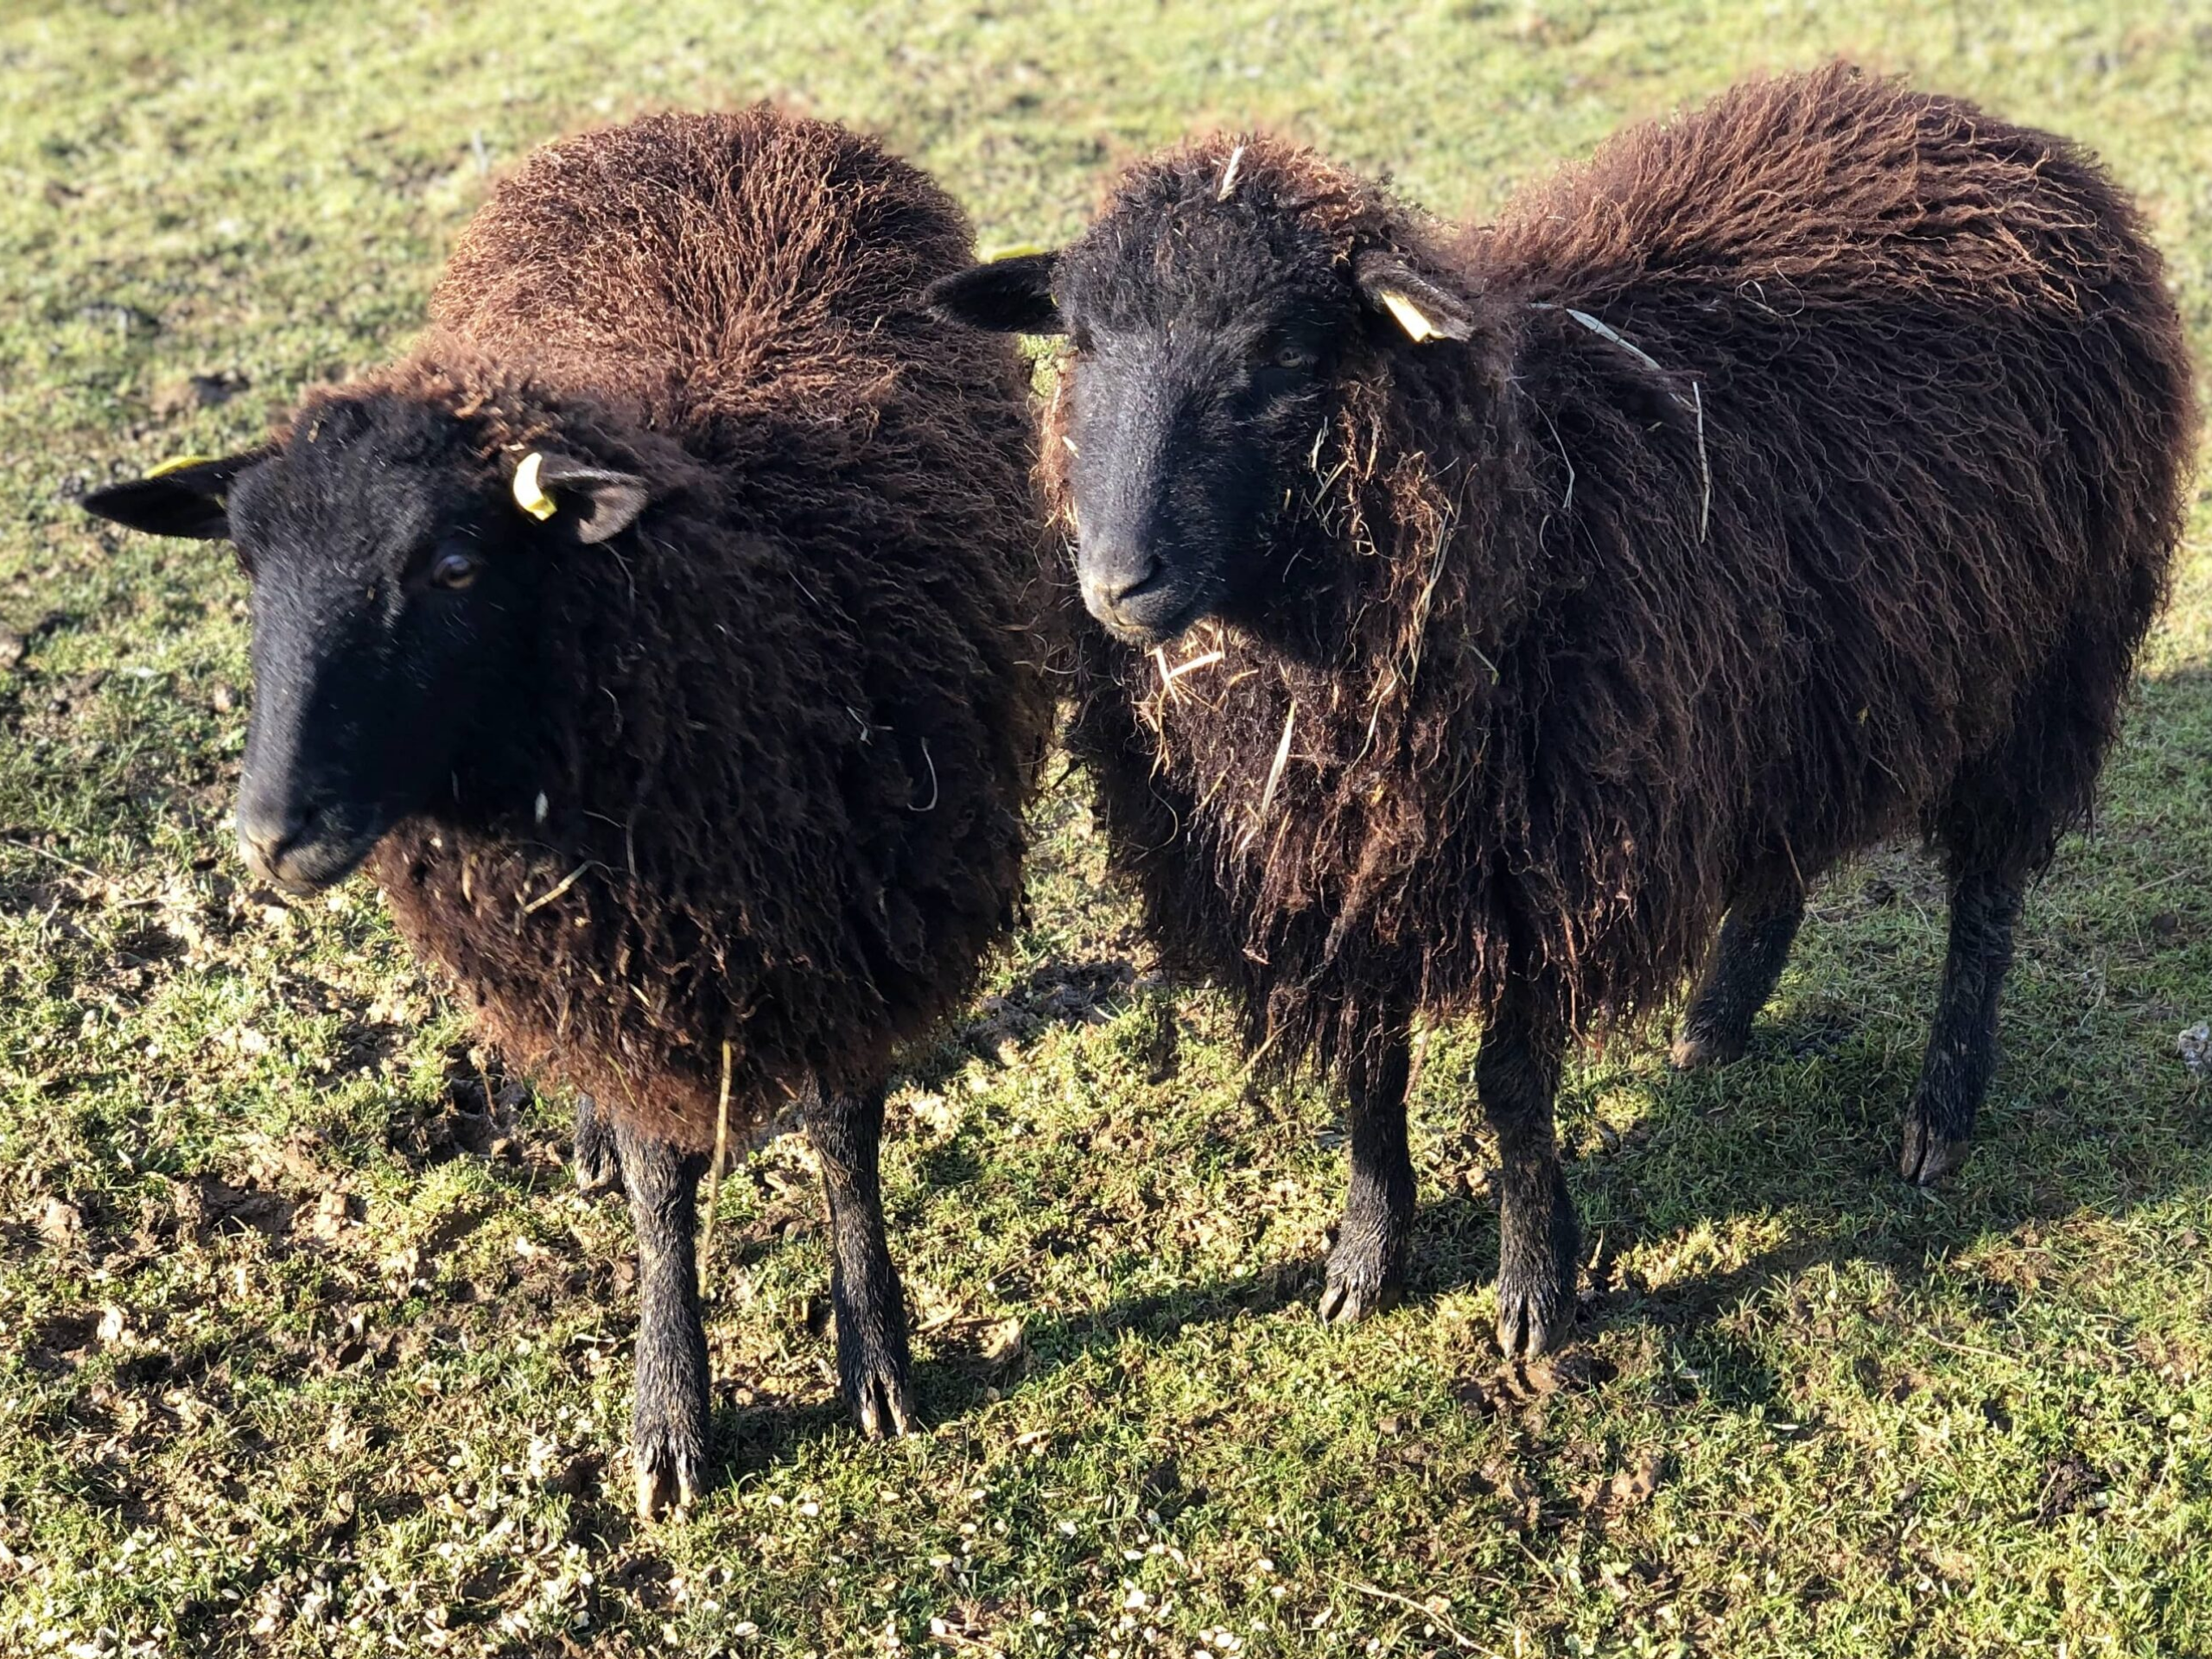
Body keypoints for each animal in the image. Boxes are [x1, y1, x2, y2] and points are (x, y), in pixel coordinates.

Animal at [86, 111, 1052, 1530]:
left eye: (451, 566)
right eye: (249, 567)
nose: (269, 833)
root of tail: (714, 119)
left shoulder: (866, 916)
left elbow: (845, 1133)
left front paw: (875, 1355)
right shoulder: (622, 960)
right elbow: (660, 1182)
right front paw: (672, 1414)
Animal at [929, 65, 2194, 1362]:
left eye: (1280, 353)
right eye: (1079, 341)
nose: (1116, 581)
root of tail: (2003, 140)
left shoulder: (1547, 856)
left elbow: (1509, 1086)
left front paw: (1536, 1283)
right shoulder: (1342, 869)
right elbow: (1369, 1073)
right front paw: (1365, 1256)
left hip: (2045, 669)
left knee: (1986, 895)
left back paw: (1941, 1112)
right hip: (1794, 678)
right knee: (1786, 840)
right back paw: (1717, 1019)